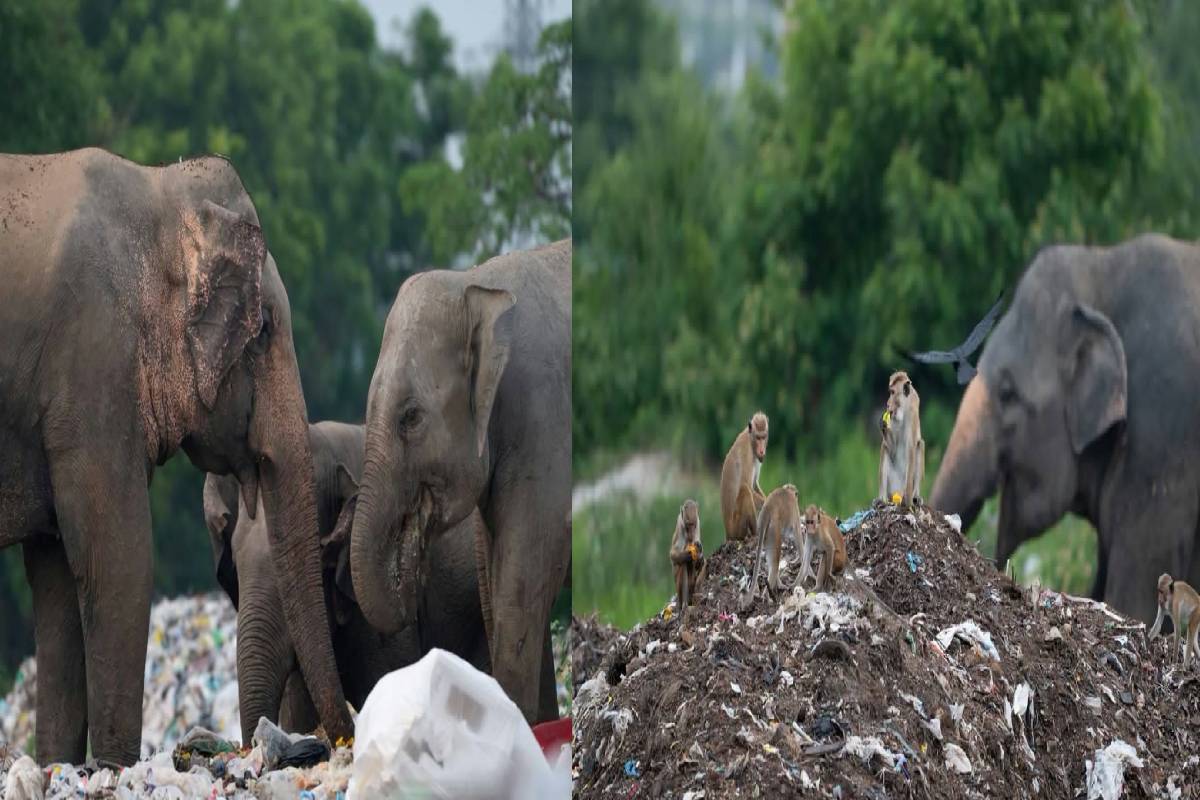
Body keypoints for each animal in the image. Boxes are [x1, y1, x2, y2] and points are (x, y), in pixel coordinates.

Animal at [0, 149, 349, 764]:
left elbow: (57, 576)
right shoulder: (93, 365)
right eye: (263, 329)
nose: (337, 742)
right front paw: (111, 769)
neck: (157, 187)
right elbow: (118, 559)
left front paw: (60, 768)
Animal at [350, 239, 571, 723]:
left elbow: (522, 582)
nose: (410, 587)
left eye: (411, 417)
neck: (474, 284)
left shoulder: (543, 420)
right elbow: (497, 582)